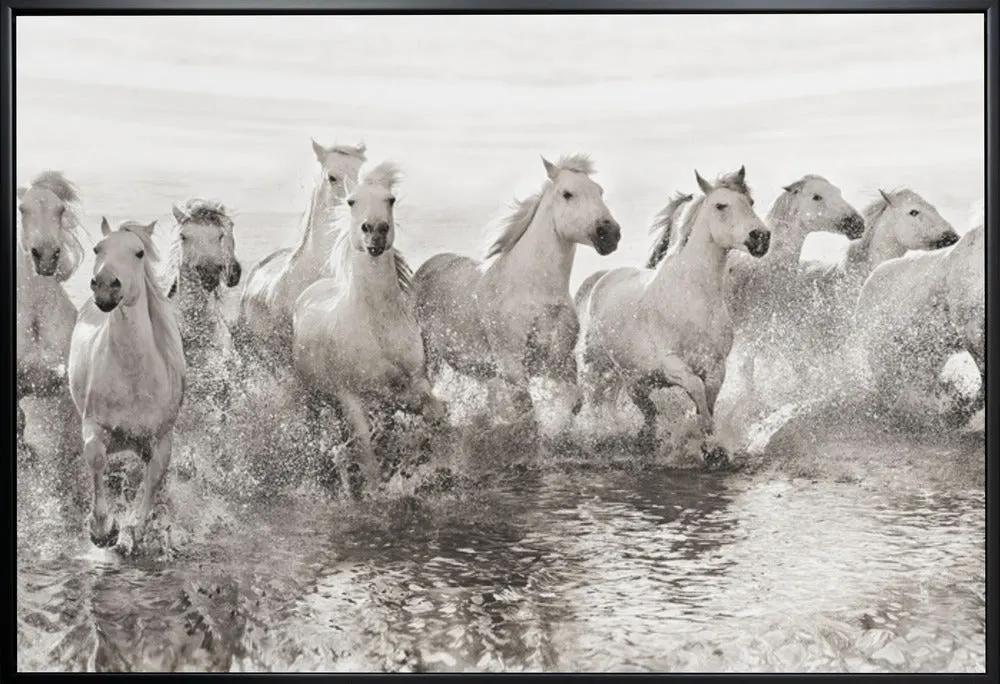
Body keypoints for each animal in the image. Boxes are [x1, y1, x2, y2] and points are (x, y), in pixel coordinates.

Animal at [68, 218, 186, 554]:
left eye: (139, 252)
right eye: (98, 248)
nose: (106, 285)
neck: (134, 379)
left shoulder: (161, 440)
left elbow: (154, 479)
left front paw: (135, 528)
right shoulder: (95, 426)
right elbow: (96, 459)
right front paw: (103, 530)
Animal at [293, 162, 446, 497]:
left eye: (390, 199)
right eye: (352, 201)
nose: (375, 230)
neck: (376, 325)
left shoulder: (414, 382)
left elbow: (433, 414)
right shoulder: (349, 396)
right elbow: (365, 451)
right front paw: (374, 490)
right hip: (314, 397)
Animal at [412, 154, 621, 434]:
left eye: (599, 191)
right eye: (567, 194)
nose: (610, 234)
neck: (534, 290)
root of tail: (429, 265)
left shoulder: (559, 360)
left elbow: (573, 399)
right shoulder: (511, 363)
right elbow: (525, 409)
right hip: (430, 356)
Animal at [576, 169, 770, 465]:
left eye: (750, 202)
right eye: (721, 205)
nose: (761, 237)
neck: (694, 298)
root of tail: (603, 278)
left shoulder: (716, 365)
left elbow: (708, 399)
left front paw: (711, 446)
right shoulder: (671, 363)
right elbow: (697, 390)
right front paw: (705, 439)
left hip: (634, 380)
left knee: (645, 412)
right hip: (599, 367)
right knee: (596, 400)